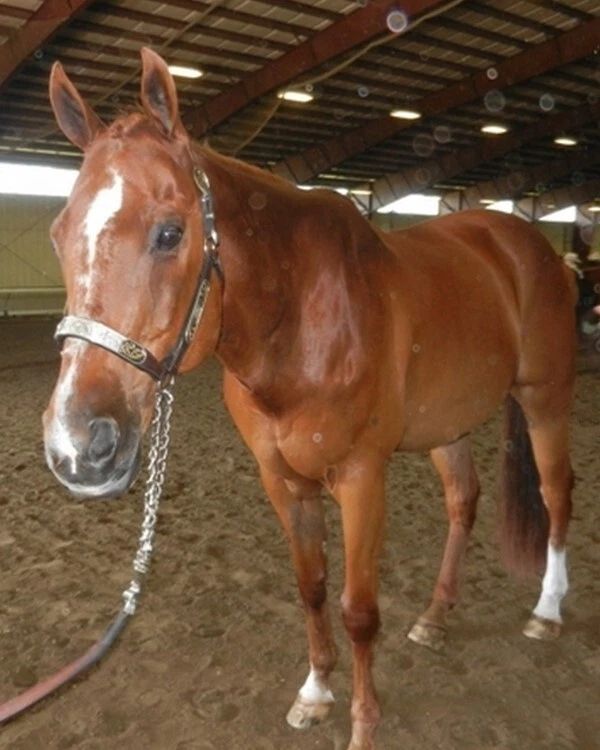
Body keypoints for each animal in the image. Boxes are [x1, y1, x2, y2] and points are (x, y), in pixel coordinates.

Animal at [43, 48, 577, 750]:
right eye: (59, 233)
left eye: (169, 233)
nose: (78, 444)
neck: (299, 321)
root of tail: (530, 243)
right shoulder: (283, 480)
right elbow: (312, 587)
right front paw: (316, 692)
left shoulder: (360, 477)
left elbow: (358, 610)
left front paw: (364, 724)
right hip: (449, 425)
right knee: (464, 501)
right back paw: (436, 617)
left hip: (546, 398)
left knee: (556, 491)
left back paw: (547, 610)